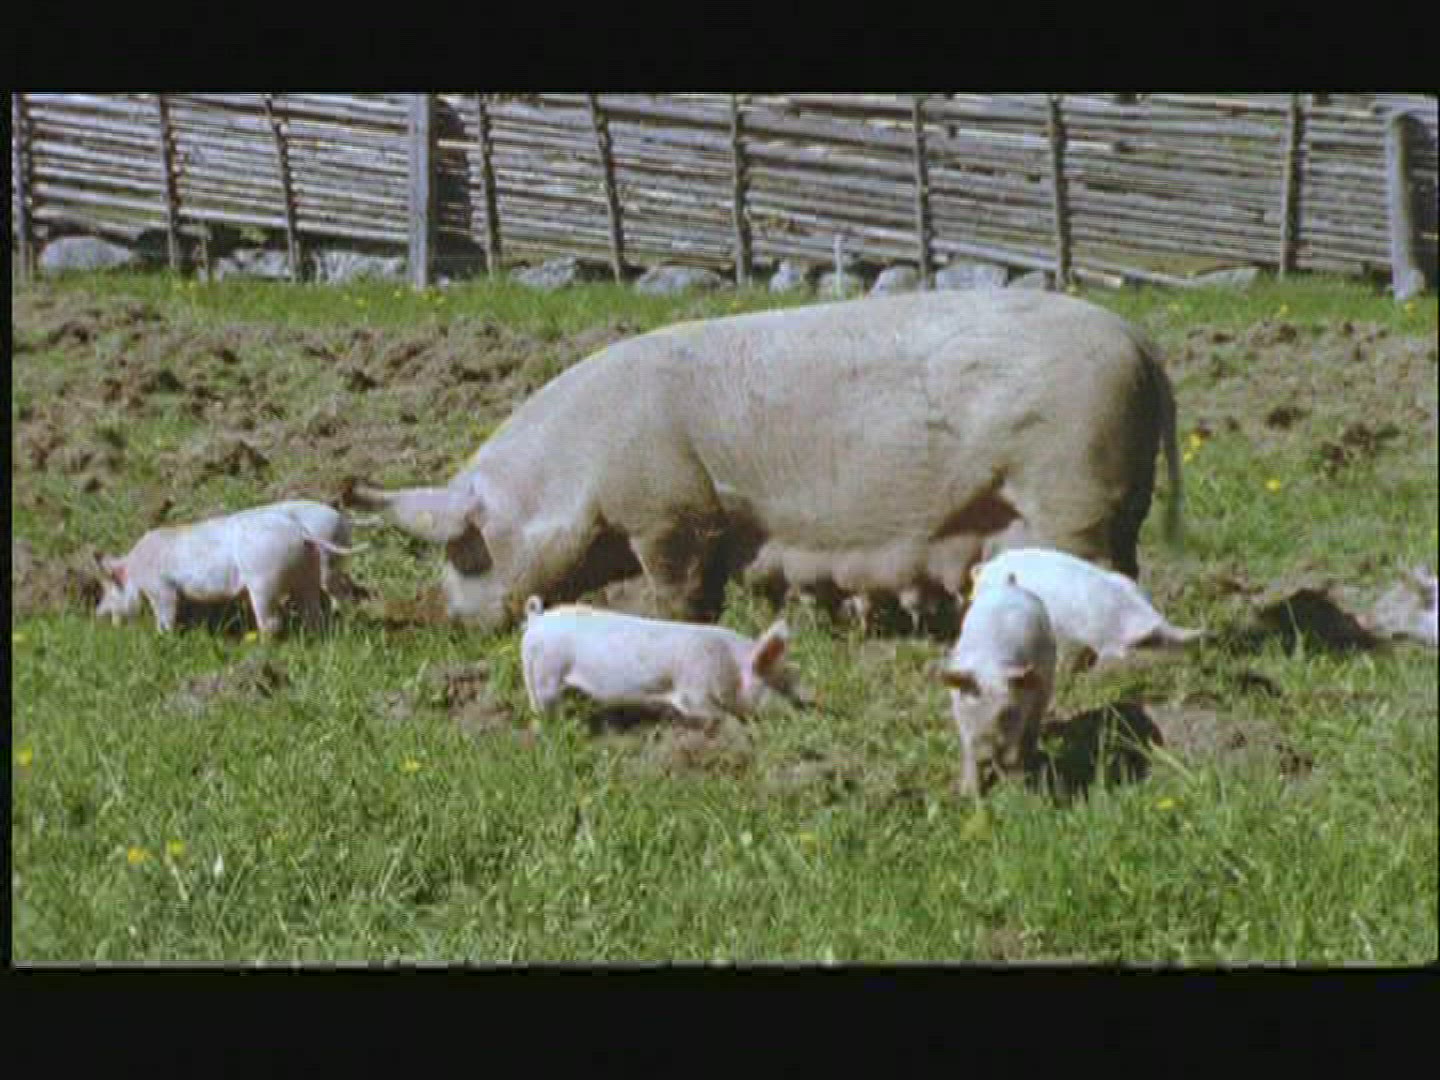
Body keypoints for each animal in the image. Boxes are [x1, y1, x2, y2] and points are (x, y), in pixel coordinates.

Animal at [93, 504, 359, 635]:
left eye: (108, 589)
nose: (98, 614)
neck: (135, 568)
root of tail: (300, 532)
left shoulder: (160, 588)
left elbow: (166, 614)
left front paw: (163, 638)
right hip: (308, 574)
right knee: (313, 612)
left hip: (265, 577)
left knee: (271, 622)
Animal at [345, 289, 1182, 634]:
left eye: (465, 551)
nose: (438, 619)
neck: (574, 471)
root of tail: (1138, 341)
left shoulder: (668, 509)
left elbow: (678, 586)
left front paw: (675, 627)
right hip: (1119, 498)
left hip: (1072, 490)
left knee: (1098, 571)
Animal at [519, 596, 800, 733]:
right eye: (780, 683)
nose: (799, 712)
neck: (729, 666)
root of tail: (537, 618)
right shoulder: (693, 692)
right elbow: (719, 715)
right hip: (546, 672)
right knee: (542, 707)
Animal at [941, 573, 1058, 797]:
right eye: (970, 706)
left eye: (1007, 712)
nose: (984, 756)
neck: (990, 666)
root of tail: (1009, 583)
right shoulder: (961, 718)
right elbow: (968, 750)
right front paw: (968, 794)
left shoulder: (1022, 710)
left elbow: (1013, 753)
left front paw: (1016, 788)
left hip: (1046, 684)